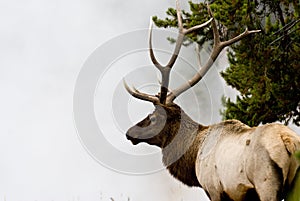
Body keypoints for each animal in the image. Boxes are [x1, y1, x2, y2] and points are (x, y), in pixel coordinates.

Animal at [122, 0, 300, 200]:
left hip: (266, 182)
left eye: (153, 117)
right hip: (294, 184)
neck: (193, 158)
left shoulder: (213, 188)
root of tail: (289, 142)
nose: (129, 133)